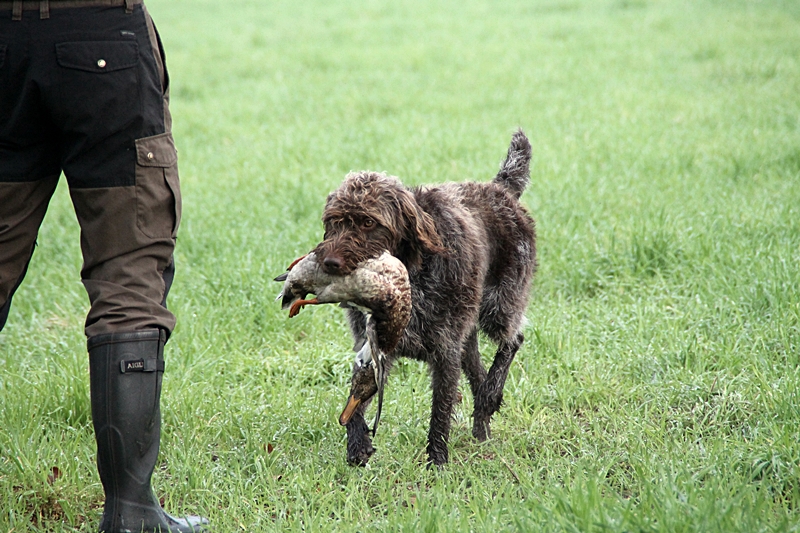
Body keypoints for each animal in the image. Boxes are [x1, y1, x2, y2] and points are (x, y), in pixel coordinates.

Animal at [312, 130, 536, 466]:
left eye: (368, 222)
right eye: (334, 221)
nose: (329, 263)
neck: (409, 276)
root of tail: (499, 188)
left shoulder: (445, 351)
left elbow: (440, 410)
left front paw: (437, 462)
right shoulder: (373, 349)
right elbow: (356, 400)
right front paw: (357, 443)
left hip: (499, 305)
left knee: (512, 340)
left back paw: (490, 395)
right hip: (468, 334)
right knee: (477, 372)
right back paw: (482, 423)